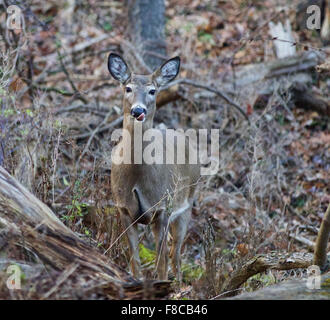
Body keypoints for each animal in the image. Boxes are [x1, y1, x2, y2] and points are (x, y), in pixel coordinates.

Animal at [109, 53, 199, 280]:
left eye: (152, 90)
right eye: (128, 88)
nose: (138, 110)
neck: (137, 177)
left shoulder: (162, 208)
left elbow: (161, 263)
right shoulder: (123, 208)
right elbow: (135, 260)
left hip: (187, 203)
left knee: (175, 254)